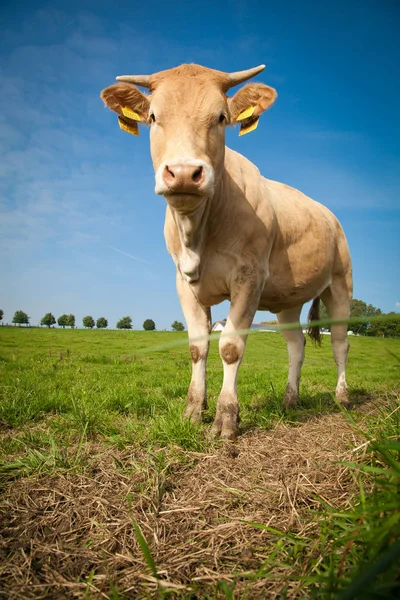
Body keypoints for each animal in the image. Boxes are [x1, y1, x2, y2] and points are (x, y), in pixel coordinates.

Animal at [101, 63, 354, 440]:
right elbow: (197, 346)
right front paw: (193, 411)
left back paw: (342, 397)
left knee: (340, 343)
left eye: (221, 117)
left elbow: (231, 347)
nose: (184, 173)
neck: (199, 232)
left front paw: (225, 419)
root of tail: (331, 216)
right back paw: (290, 400)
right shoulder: (183, 281)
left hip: (340, 285)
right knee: (296, 345)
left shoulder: (249, 277)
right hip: (288, 301)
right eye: (153, 116)